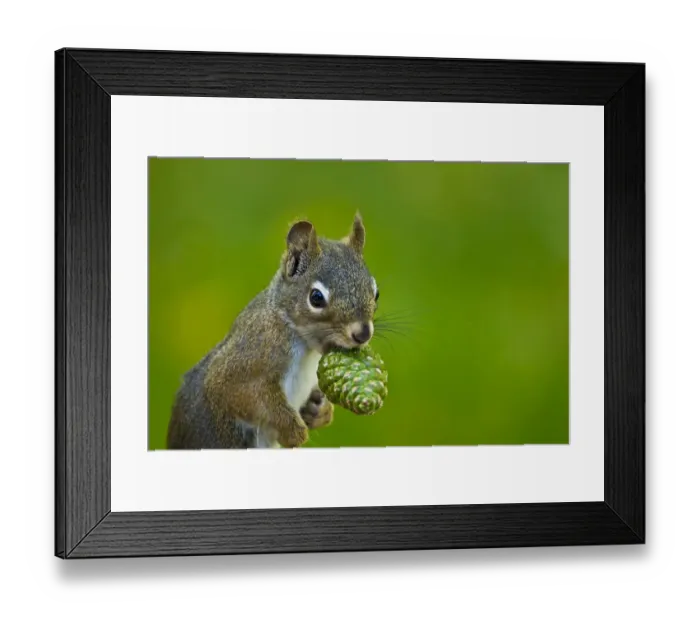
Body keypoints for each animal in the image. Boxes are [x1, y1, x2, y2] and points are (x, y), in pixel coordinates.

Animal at [166, 213, 380, 450]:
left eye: (376, 293)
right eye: (316, 298)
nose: (363, 334)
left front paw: (320, 411)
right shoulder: (251, 354)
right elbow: (243, 394)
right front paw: (293, 431)